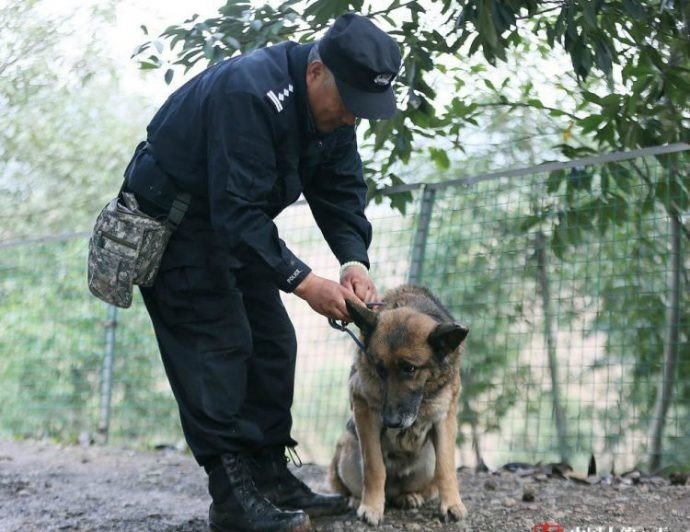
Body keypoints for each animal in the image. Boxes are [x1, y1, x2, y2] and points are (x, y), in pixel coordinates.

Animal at [328, 284, 468, 524]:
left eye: (409, 368)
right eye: (380, 368)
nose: (391, 422)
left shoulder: (445, 418)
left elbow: (446, 467)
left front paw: (451, 504)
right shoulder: (364, 411)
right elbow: (374, 466)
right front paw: (371, 507)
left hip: (427, 458)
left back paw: (410, 496)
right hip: (347, 446)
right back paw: (357, 499)